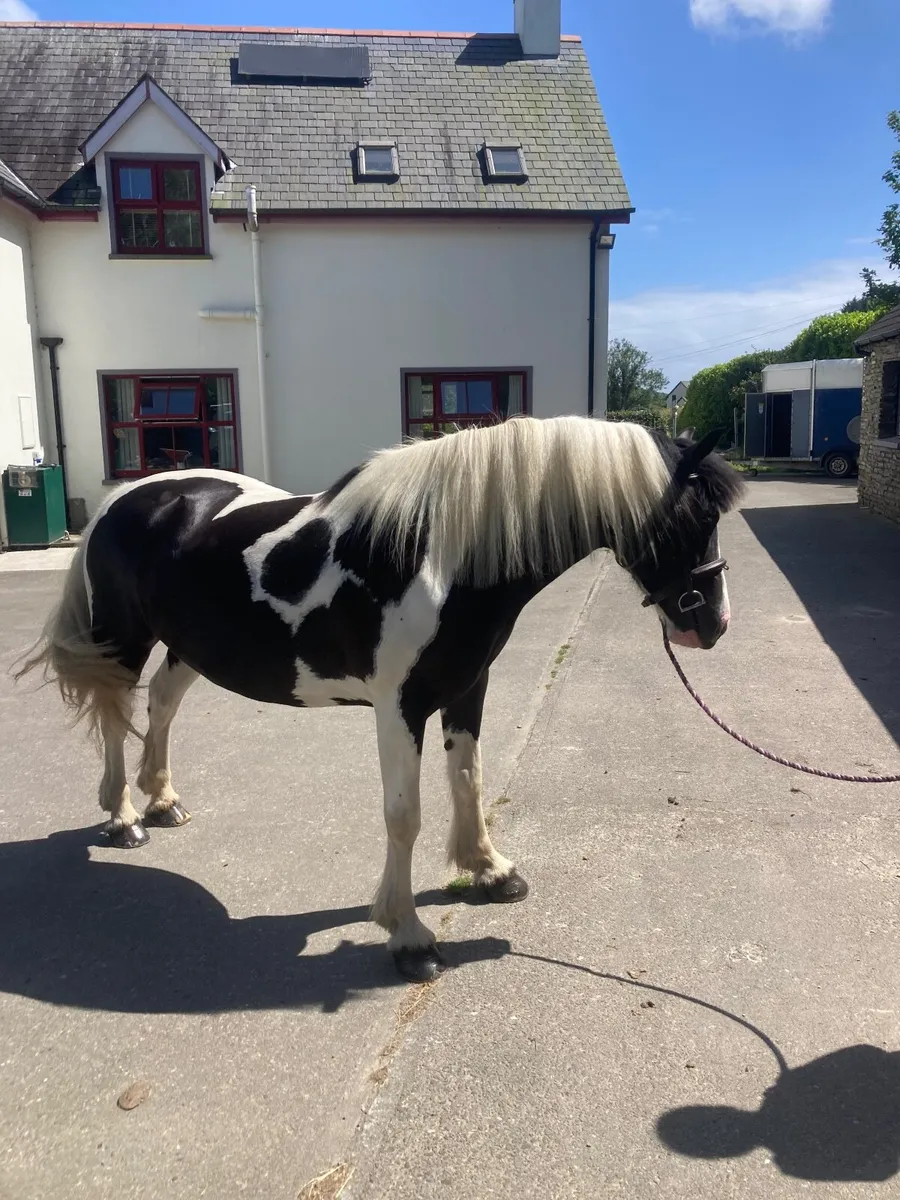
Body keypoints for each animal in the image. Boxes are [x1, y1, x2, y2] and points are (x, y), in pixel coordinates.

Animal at [17, 416, 743, 981]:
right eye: (700, 515)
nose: (712, 624)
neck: (442, 553)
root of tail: (130, 496)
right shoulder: (400, 706)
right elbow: (404, 816)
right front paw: (409, 936)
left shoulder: (467, 686)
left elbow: (468, 780)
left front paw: (489, 871)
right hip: (121, 639)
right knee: (116, 717)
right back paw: (123, 818)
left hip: (186, 648)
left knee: (162, 705)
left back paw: (163, 802)